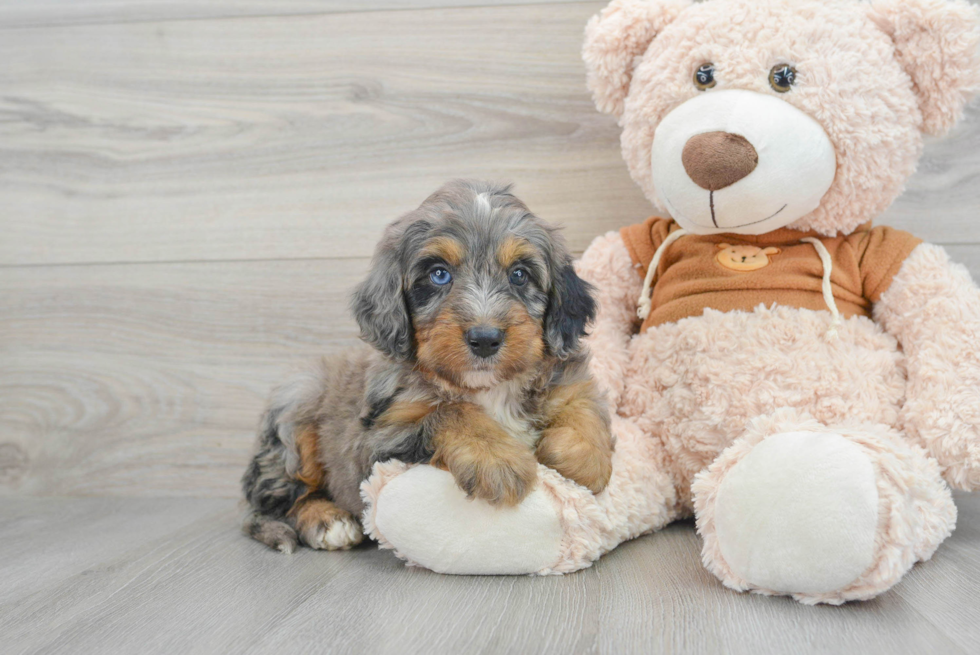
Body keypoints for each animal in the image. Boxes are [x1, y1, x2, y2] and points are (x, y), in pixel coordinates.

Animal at [241, 178, 612, 552]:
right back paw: (328, 521)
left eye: (519, 274)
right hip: (296, 407)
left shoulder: (569, 378)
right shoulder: (376, 439)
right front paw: (497, 459)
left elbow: (584, 405)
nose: (485, 339)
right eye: (439, 275)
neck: (489, 388)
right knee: (279, 502)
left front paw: (582, 458)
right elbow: (451, 412)